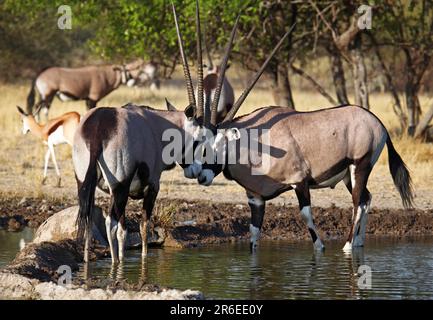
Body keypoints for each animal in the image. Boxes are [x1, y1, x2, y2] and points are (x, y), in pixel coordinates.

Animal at [25, 59, 157, 118]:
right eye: (126, 70)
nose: (132, 82)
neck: (106, 75)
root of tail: (40, 73)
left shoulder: (88, 100)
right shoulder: (92, 99)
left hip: (46, 96)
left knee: (41, 107)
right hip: (48, 95)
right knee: (39, 107)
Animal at [192, 25, 412, 254]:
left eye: (218, 145)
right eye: (198, 143)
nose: (201, 176)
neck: (253, 140)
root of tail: (378, 122)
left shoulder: (299, 182)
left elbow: (306, 216)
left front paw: (321, 246)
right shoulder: (256, 198)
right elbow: (253, 233)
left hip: (360, 166)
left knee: (357, 202)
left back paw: (348, 246)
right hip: (347, 175)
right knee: (365, 199)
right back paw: (359, 243)